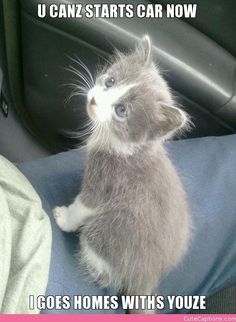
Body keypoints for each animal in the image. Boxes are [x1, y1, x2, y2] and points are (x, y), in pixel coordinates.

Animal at [53, 35, 192, 314]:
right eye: (110, 82)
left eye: (121, 111)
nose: (94, 101)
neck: (125, 147)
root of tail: (148, 277)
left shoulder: (107, 179)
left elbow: (85, 205)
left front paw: (64, 218)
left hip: (107, 233)